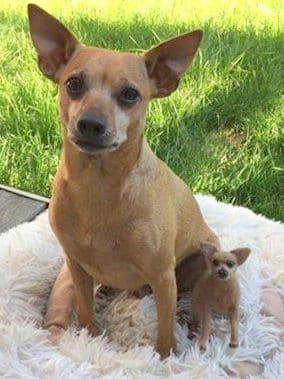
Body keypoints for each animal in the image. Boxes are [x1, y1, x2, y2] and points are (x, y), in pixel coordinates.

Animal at [28, 4, 220, 358]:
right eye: (74, 84)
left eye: (130, 94)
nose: (91, 124)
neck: (97, 184)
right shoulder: (76, 266)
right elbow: (85, 309)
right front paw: (90, 338)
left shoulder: (163, 277)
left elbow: (164, 329)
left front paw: (164, 358)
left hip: (203, 259)